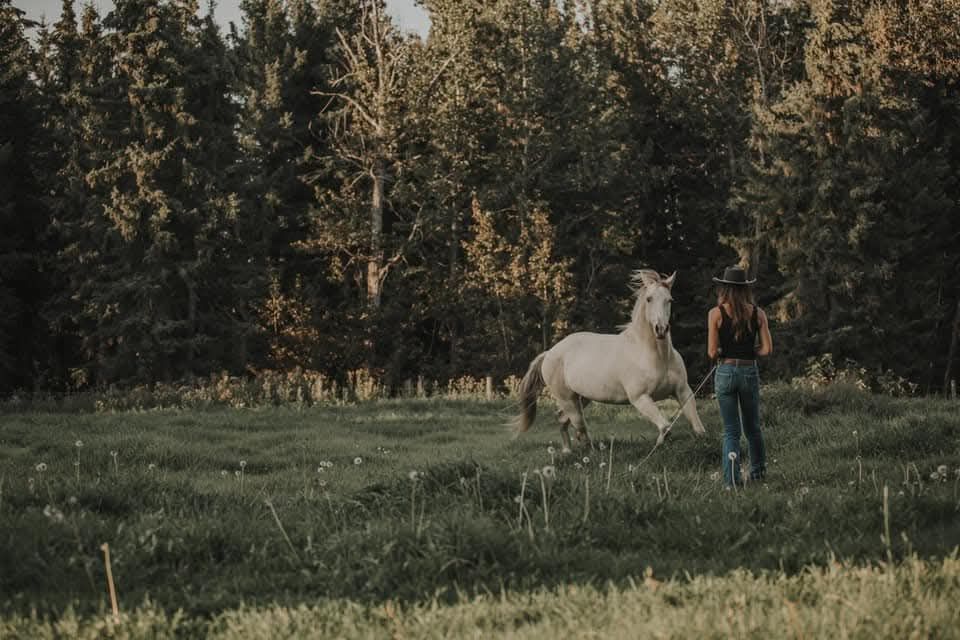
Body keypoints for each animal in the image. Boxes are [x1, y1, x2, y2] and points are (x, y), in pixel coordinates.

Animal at [512, 268, 708, 452]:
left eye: (670, 300)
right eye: (649, 299)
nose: (661, 329)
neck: (657, 357)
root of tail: (549, 352)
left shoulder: (683, 392)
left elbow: (699, 429)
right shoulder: (640, 398)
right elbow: (666, 427)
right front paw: (659, 445)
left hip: (581, 398)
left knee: (563, 419)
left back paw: (567, 451)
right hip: (567, 399)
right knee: (579, 427)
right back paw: (588, 453)